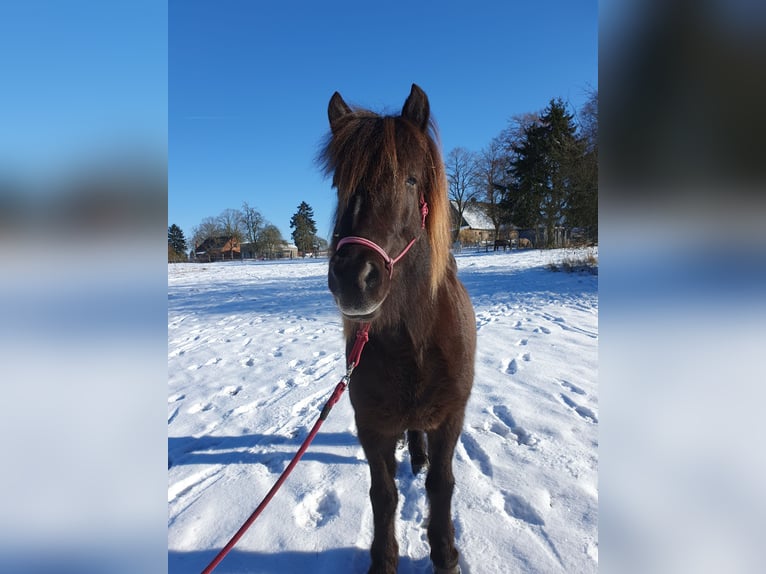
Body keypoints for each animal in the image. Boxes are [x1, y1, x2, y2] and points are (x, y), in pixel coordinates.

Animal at [321, 84, 476, 574]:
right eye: (339, 184)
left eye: (410, 180)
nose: (354, 278)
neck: (413, 341)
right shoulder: (372, 425)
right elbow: (383, 494)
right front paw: (384, 560)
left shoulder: (450, 418)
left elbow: (442, 486)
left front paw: (445, 555)